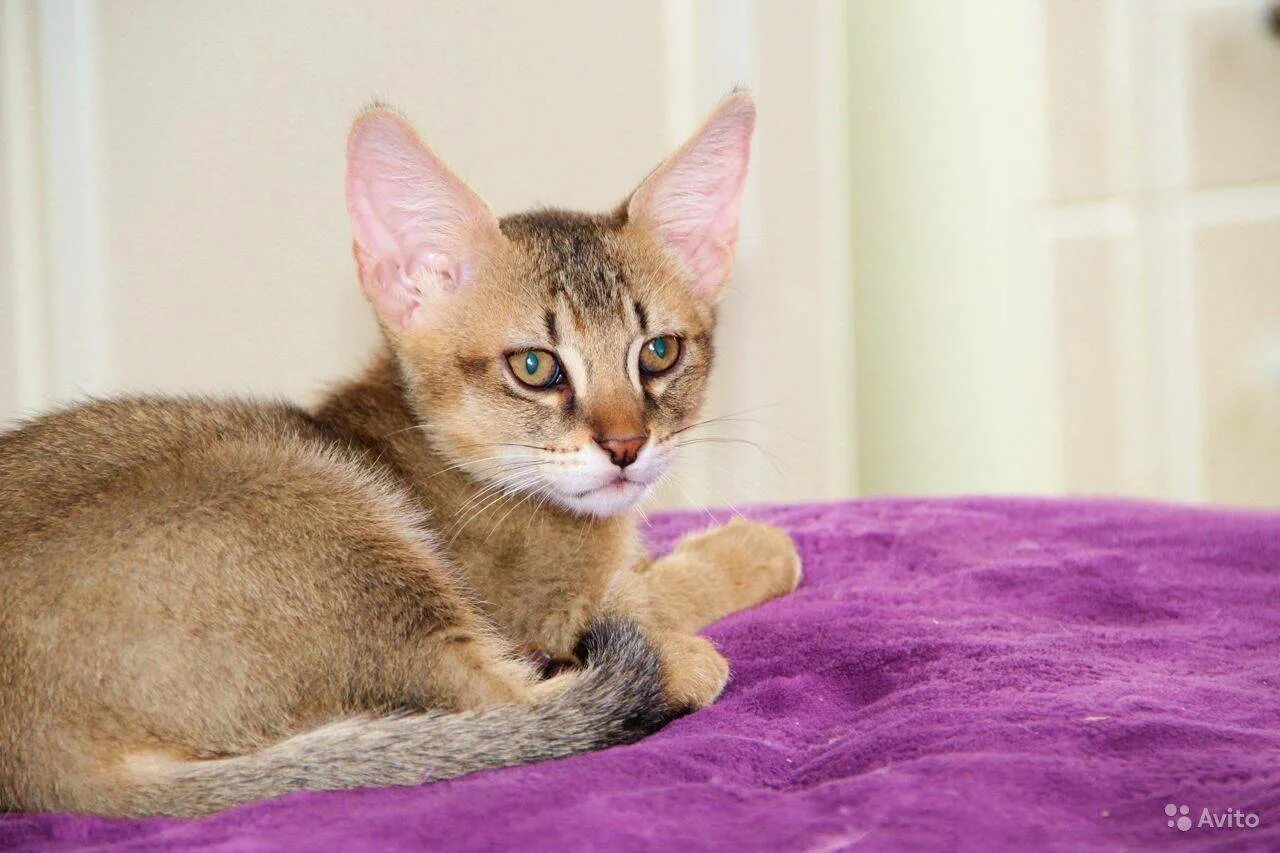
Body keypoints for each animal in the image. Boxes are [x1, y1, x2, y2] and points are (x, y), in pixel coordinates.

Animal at [0, 89, 798, 814]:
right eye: (535, 366)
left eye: (659, 353)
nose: (627, 446)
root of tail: (44, 762)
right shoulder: (547, 608)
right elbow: (659, 591)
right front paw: (756, 549)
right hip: (328, 515)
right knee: (500, 694)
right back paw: (685, 662)